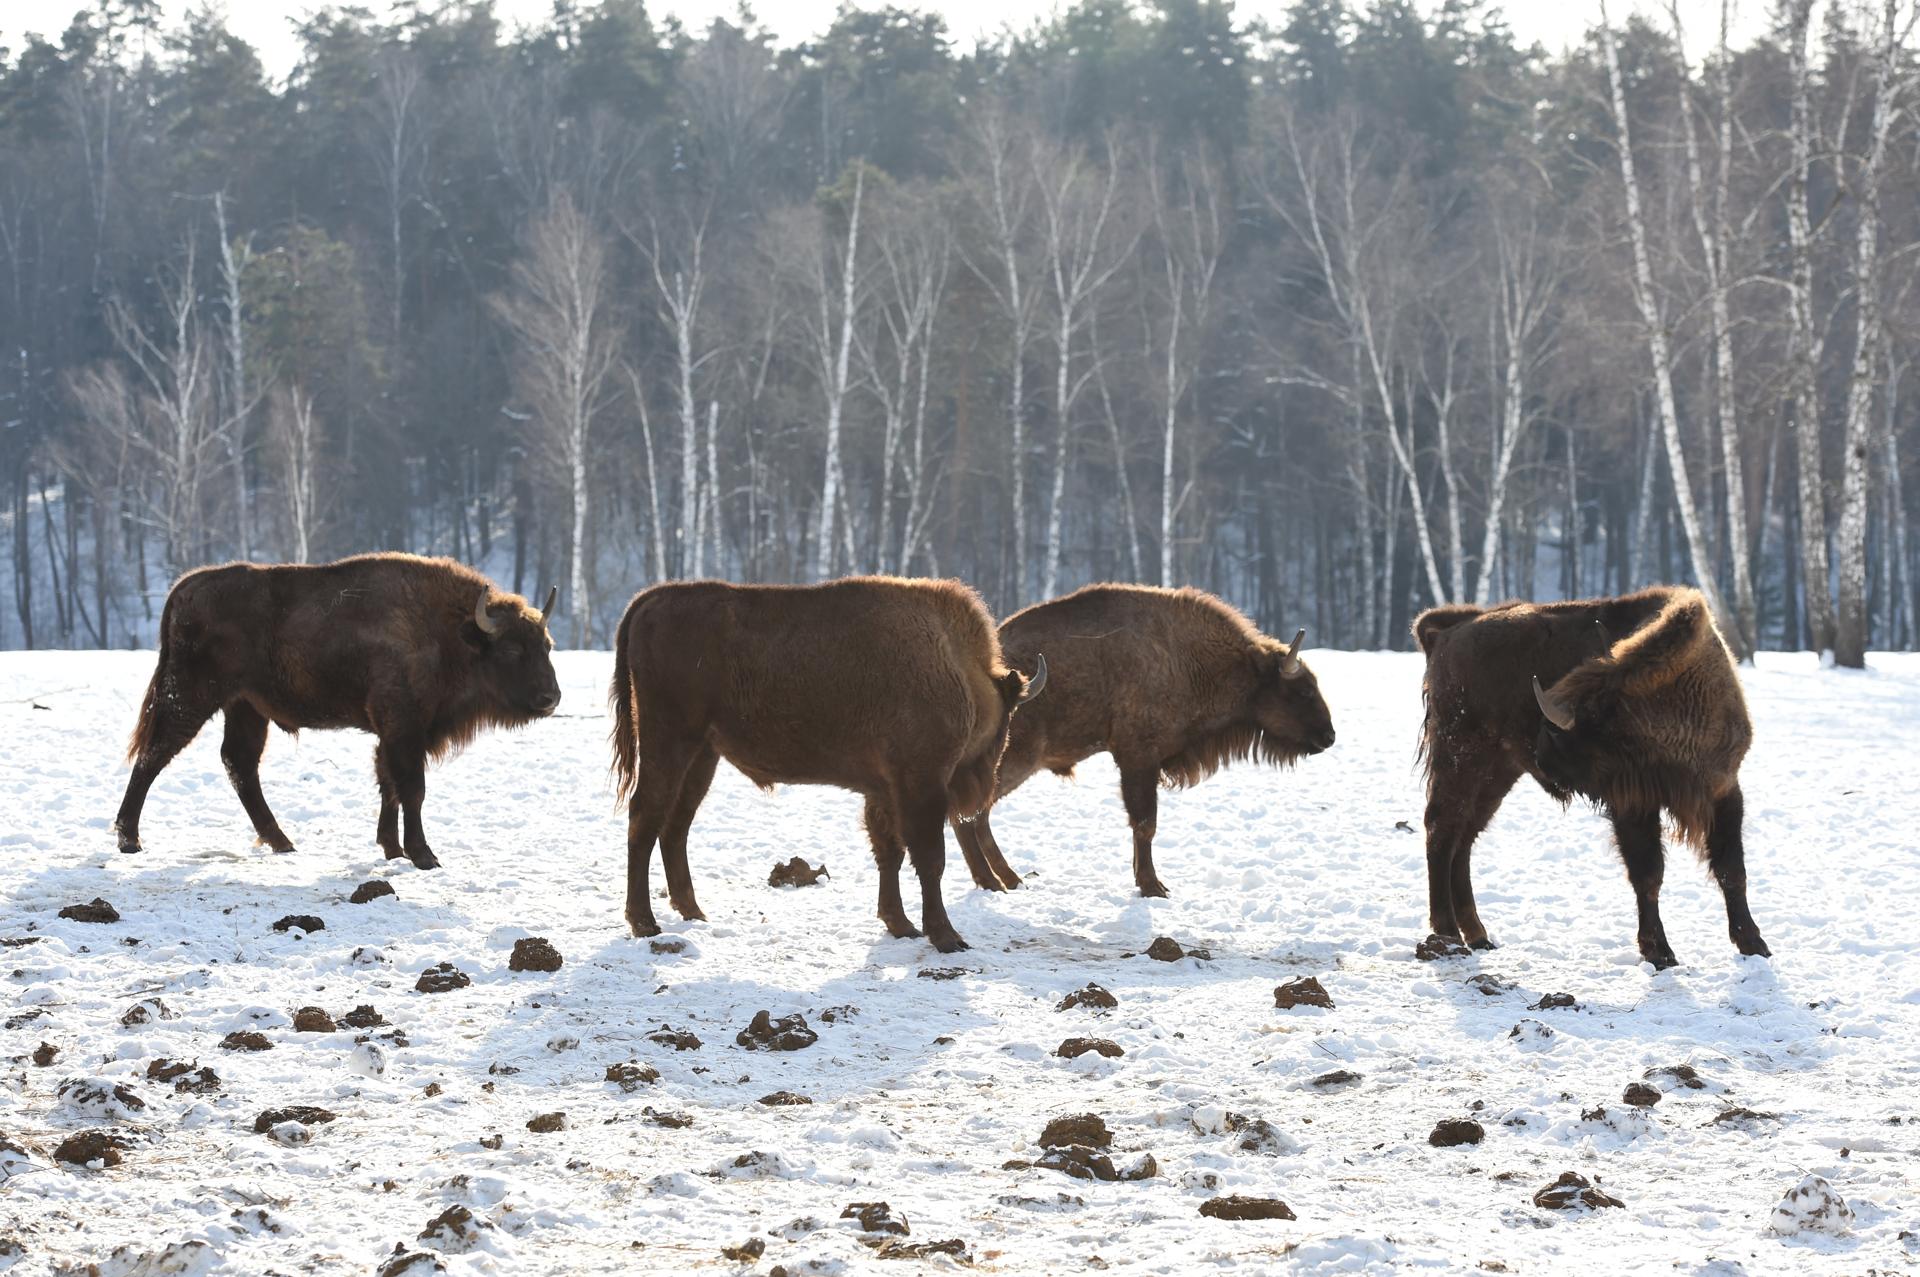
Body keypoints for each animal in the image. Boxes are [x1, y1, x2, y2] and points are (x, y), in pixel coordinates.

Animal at [117, 549, 560, 867]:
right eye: (511, 650)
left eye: (547, 645)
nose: (551, 698)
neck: (451, 632)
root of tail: (183, 589)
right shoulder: (404, 728)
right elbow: (412, 788)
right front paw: (424, 856)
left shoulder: (393, 735)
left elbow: (389, 785)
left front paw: (392, 849)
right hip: (192, 697)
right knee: (156, 755)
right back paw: (129, 839)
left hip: (245, 707)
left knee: (238, 763)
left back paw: (282, 842)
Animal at [606, 572, 1044, 952]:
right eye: (1008, 719)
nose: (989, 779)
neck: (953, 665)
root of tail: (652, 599)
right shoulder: (921, 786)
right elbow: (929, 858)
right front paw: (946, 937)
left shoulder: (884, 792)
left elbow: (890, 853)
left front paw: (901, 925)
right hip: (669, 743)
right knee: (644, 818)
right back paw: (645, 923)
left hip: (702, 755)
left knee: (676, 825)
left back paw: (693, 912)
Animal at [944, 583, 1336, 894]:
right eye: (1302, 690)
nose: (1329, 736)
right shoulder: (1138, 758)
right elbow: (1146, 824)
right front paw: (1153, 887)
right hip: (1014, 762)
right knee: (968, 815)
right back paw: (993, 881)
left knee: (976, 816)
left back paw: (1008, 880)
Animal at [1413, 583, 1766, 967]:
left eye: (1600, 729)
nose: (1544, 758)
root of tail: (1447, 631)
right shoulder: (1633, 805)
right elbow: (1648, 873)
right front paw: (1659, 951)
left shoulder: (1723, 789)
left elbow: (1732, 869)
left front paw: (1754, 944)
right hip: (1462, 759)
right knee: (1441, 831)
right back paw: (1448, 935)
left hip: (1497, 774)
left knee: (1463, 840)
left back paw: (1478, 936)